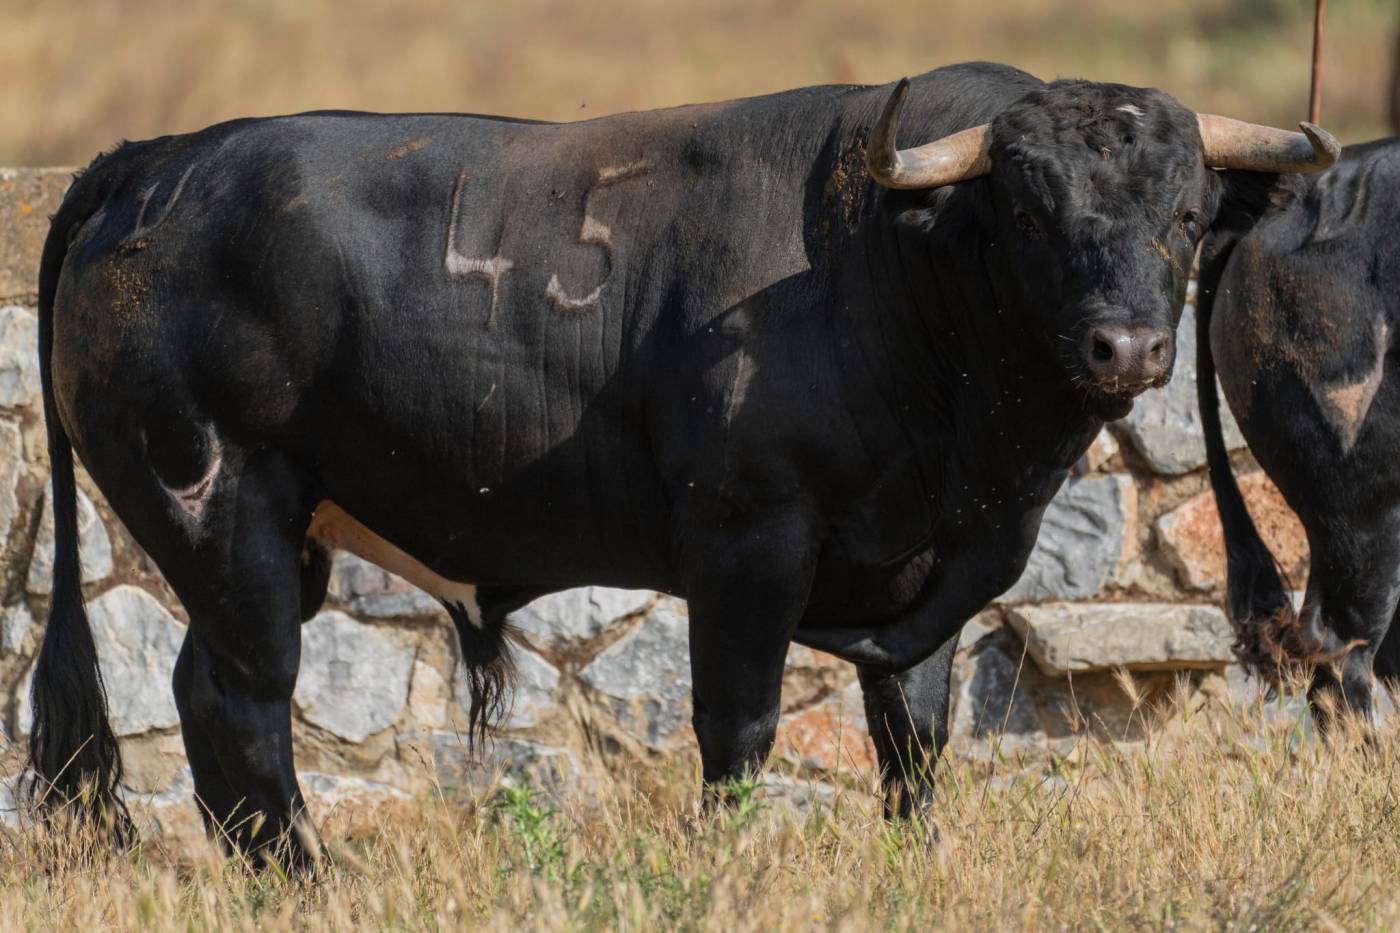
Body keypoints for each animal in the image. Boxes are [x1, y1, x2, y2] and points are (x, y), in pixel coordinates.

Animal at [27, 62, 1335, 868]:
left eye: (1183, 215)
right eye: (1028, 212)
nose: (1128, 347)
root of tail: (156, 162)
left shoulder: (922, 579)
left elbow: (912, 740)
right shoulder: (746, 547)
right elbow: (736, 729)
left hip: (263, 542)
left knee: (205, 701)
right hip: (218, 506)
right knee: (246, 703)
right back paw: (309, 882)